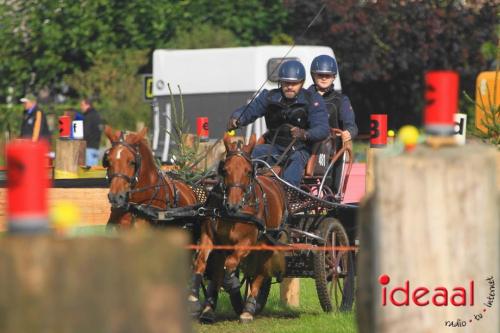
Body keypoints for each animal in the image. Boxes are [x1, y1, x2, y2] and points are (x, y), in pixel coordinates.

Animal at [189, 133, 288, 322]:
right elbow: (201, 263)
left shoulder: (247, 243)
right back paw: (209, 308)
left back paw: (248, 308)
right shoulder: (209, 237)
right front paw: (194, 299)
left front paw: (233, 284)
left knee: (259, 273)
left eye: (248, 171)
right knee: (219, 270)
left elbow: (231, 264)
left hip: (267, 243)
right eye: (225, 170)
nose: (233, 206)